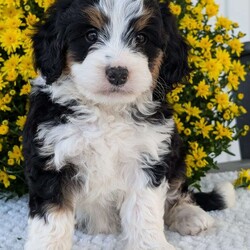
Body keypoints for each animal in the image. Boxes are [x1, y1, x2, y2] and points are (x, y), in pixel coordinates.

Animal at [22, 0, 235, 249]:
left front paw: (151, 244)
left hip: (176, 156)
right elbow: (52, 218)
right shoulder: (51, 158)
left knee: (177, 191)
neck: (107, 111)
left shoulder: (147, 157)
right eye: (91, 35)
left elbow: (144, 210)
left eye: (141, 38)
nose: (117, 73)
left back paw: (189, 215)